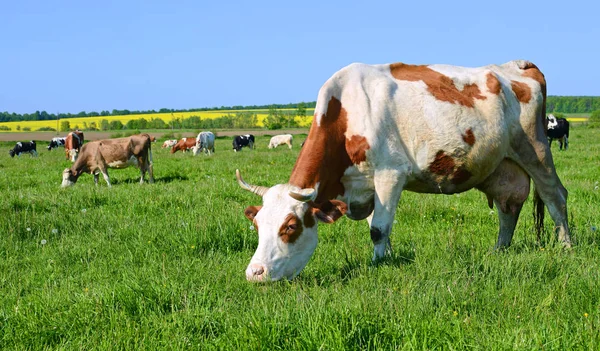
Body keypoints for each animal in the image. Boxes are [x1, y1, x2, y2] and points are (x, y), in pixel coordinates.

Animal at [236, 59, 572, 282]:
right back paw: (499, 250)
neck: (346, 113)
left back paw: (567, 245)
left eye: (290, 227)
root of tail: (518, 64)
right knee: (508, 206)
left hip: (535, 149)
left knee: (555, 195)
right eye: (257, 225)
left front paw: (376, 265)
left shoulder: (390, 174)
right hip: (502, 167)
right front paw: (386, 257)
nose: (254, 272)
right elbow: (378, 226)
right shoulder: (366, 186)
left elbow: (378, 229)